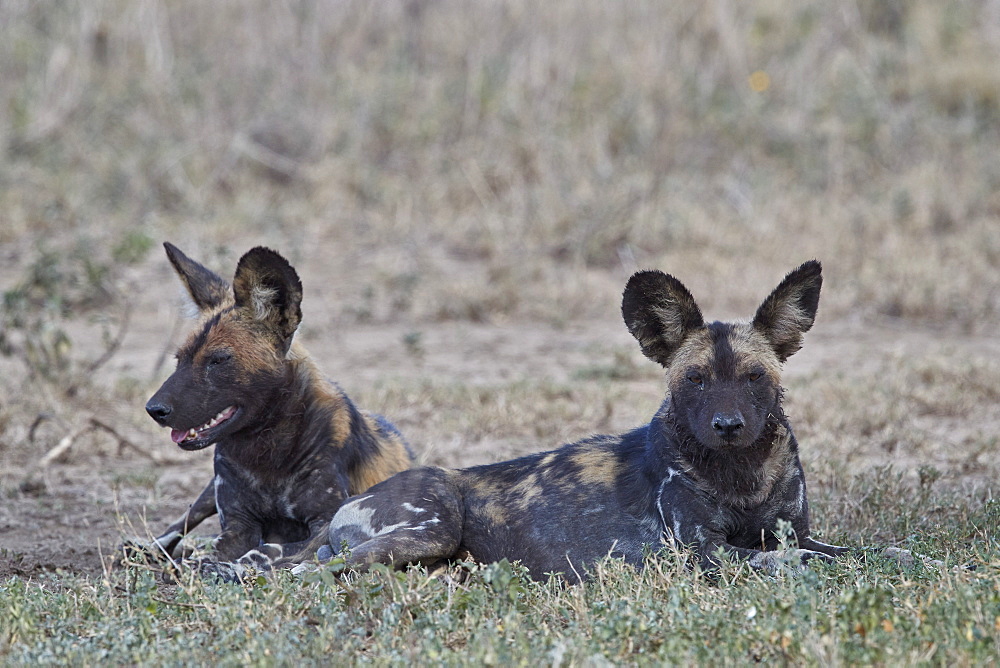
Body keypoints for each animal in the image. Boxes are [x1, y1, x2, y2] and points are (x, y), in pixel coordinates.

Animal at [124, 245, 414, 568]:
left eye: (218, 360)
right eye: (179, 360)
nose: (154, 409)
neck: (266, 450)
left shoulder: (325, 523)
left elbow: (265, 550)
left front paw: (228, 568)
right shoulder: (238, 525)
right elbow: (210, 547)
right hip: (206, 495)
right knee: (179, 526)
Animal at [300, 258, 848, 580]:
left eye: (754, 376)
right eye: (696, 379)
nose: (728, 425)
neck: (741, 478)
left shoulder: (793, 532)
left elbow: (854, 551)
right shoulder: (704, 554)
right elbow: (799, 559)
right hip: (431, 528)